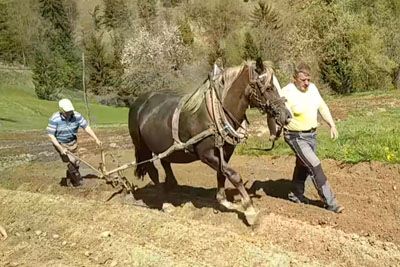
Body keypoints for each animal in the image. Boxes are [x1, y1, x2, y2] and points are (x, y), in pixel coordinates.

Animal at [128, 59, 290, 225]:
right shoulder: (205, 155)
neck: (214, 113)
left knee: (165, 163)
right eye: (268, 87)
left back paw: (172, 189)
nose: (287, 116)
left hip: (164, 147)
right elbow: (234, 175)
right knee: (152, 171)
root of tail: (138, 102)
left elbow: (222, 173)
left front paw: (224, 200)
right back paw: (165, 203)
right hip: (142, 147)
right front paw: (249, 209)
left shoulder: (226, 152)